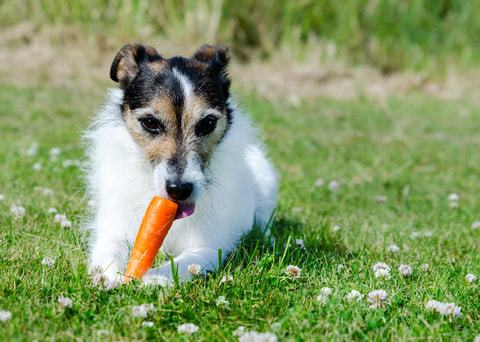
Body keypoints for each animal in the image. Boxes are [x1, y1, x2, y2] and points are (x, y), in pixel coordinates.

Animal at [84, 44, 276, 288]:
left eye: (208, 123)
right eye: (150, 122)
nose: (179, 189)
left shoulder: (209, 247)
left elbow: (182, 263)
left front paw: (154, 277)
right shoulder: (113, 228)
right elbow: (109, 249)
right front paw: (109, 275)